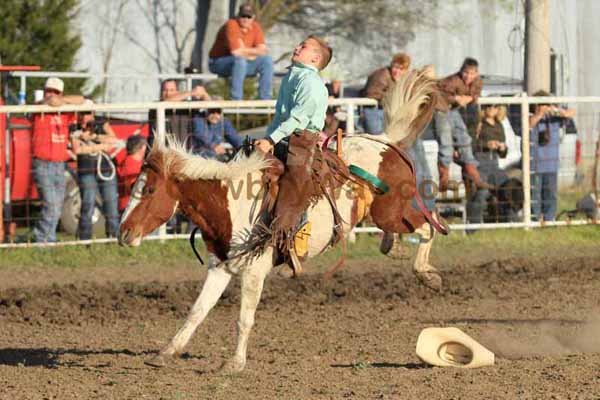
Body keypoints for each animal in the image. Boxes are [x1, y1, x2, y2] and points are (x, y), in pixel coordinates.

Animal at [118, 69, 446, 372]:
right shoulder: (219, 267)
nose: (123, 232)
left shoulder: (253, 271)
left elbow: (244, 318)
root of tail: (385, 141)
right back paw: (396, 249)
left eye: (148, 190)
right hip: (383, 215)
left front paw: (234, 362)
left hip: (392, 211)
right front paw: (166, 352)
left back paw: (428, 274)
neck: (230, 204)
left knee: (428, 226)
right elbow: (197, 311)